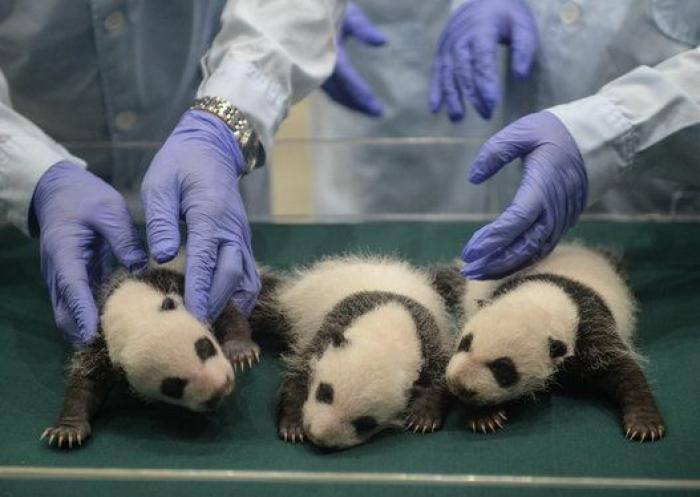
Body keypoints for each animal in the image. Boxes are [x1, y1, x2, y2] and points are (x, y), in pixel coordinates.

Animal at [41, 260, 257, 450]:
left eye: (204, 347)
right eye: (173, 386)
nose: (220, 387)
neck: (130, 309)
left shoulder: (178, 287)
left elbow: (225, 312)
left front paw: (240, 351)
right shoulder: (100, 341)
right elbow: (86, 381)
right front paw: (68, 429)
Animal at [251, 255, 454, 450]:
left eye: (365, 423)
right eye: (325, 392)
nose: (318, 436)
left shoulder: (428, 340)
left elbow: (442, 375)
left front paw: (423, 417)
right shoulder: (331, 327)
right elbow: (300, 371)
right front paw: (293, 427)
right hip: (292, 306)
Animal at [435, 243, 666, 442]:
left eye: (502, 368)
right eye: (465, 343)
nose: (458, 384)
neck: (543, 300)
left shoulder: (590, 325)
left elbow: (622, 367)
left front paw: (644, 424)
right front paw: (485, 416)